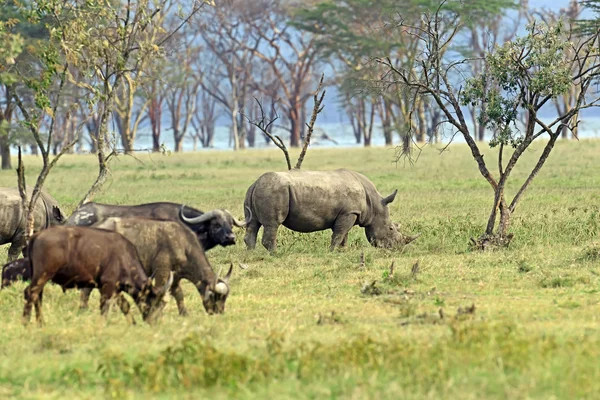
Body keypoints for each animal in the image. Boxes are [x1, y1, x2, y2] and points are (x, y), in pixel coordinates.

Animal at [23, 225, 172, 324]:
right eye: (153, 303)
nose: (156, 322)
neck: (124, 256)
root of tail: (36, 235)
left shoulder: (115, 289)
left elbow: (125, 306)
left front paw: (133, 324)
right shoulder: (108, 286)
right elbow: (105, 308)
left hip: (40, 277)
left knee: (37, 296)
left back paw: (41, 323)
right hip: (43, 275)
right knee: (31, 293)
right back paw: (26, 323)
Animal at [85, 219, 233, 316]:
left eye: (225, 298)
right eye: (216, 296)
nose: (219, 312)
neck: (183, 245)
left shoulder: (176, 277)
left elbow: (178, 294)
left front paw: (184, 313)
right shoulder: (162, 272)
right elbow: (162, 291)